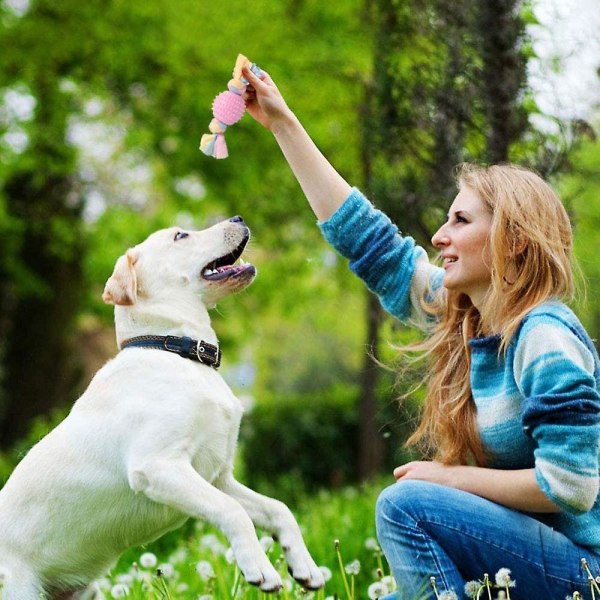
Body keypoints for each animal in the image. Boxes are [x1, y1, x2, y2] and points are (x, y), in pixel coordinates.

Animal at [0, 217, 324, 600]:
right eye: (180, 235)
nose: (239, 219)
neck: (177, 351)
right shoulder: (158, 466)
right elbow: (232, 512)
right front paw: (259, 568)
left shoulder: (217, 476)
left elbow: (279, 509)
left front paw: (304, 567)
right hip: (19, 589)